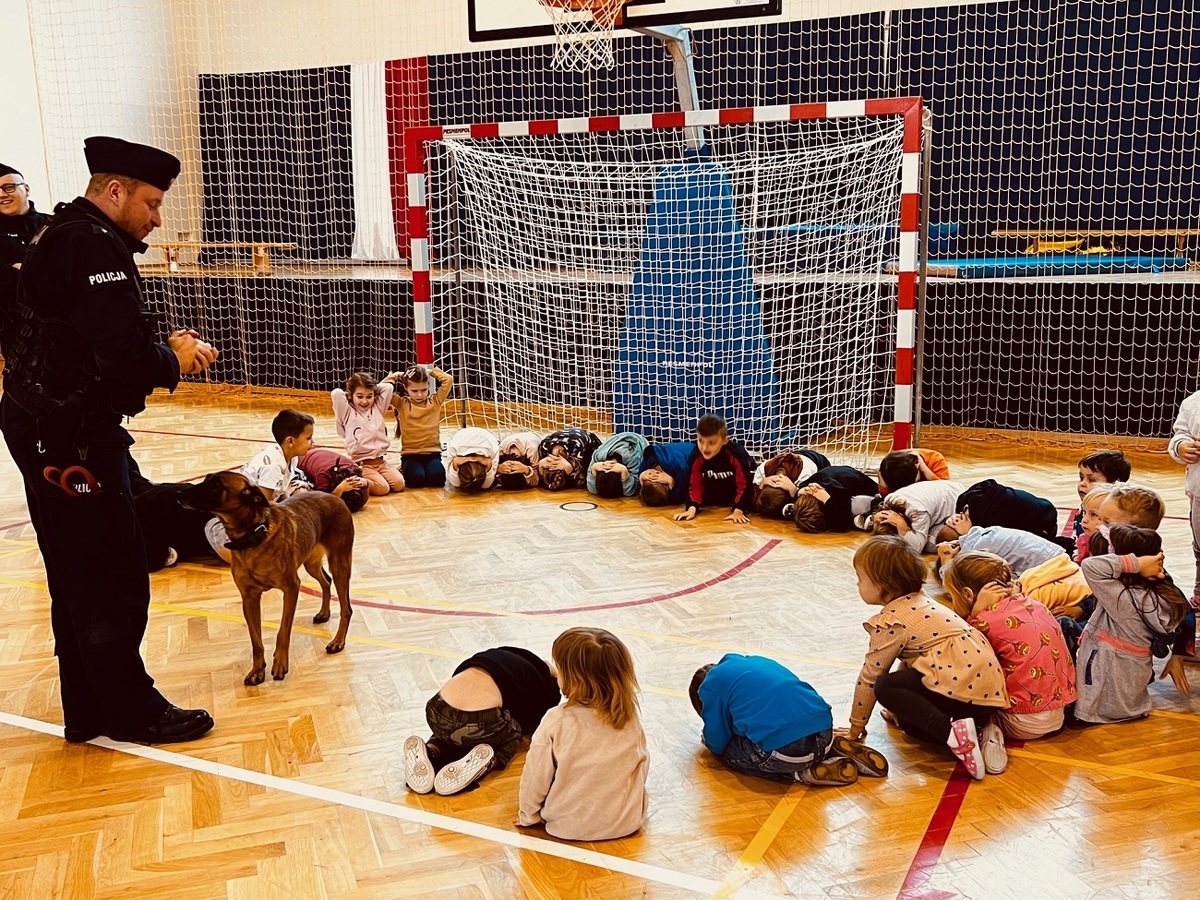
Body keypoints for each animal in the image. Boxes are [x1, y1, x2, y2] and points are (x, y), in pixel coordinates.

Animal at [180, 472, 352, 681]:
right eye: (207, 480)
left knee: (346, 608)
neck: (251, 538)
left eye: (216, 485)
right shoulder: (249, 599)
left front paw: (280, 664)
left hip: (340, 564)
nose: (180, 493)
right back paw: (324, 613)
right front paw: (257, 670)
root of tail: (334, 495)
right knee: (326, 581)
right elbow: (256, 640)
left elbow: (283, 631)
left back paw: (338, 641)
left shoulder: (291, 589)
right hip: (311, 563)